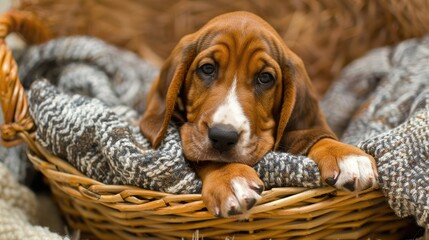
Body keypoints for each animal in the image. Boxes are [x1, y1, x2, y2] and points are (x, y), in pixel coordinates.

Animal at [139, 10, 376, 218]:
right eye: (207, 69)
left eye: (265, 78)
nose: (223, 136)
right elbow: (207, 157)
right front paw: (230, 177)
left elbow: (309, 136)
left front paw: (345, 154)